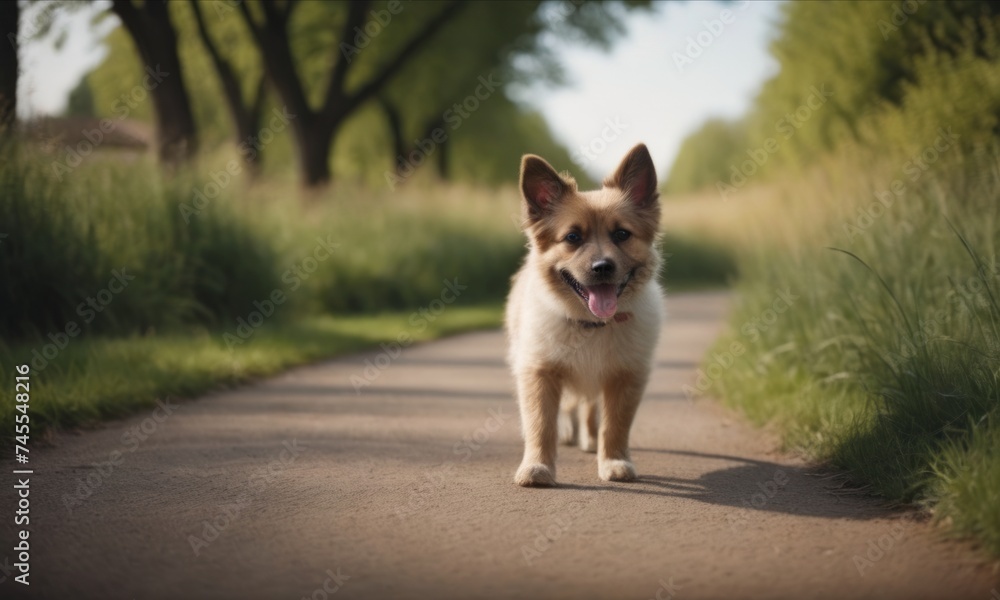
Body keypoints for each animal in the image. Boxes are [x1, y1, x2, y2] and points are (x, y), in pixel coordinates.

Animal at [508, 143, 664, 486]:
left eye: (622, 234)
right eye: (572, 238)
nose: (602, 267)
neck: (592, 325)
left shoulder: (625, 376)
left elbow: (615, 426)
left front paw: (614, 461)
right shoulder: (539, 373)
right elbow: (541, 425)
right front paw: (537, 466)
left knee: (591, 409)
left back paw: (590, 441)